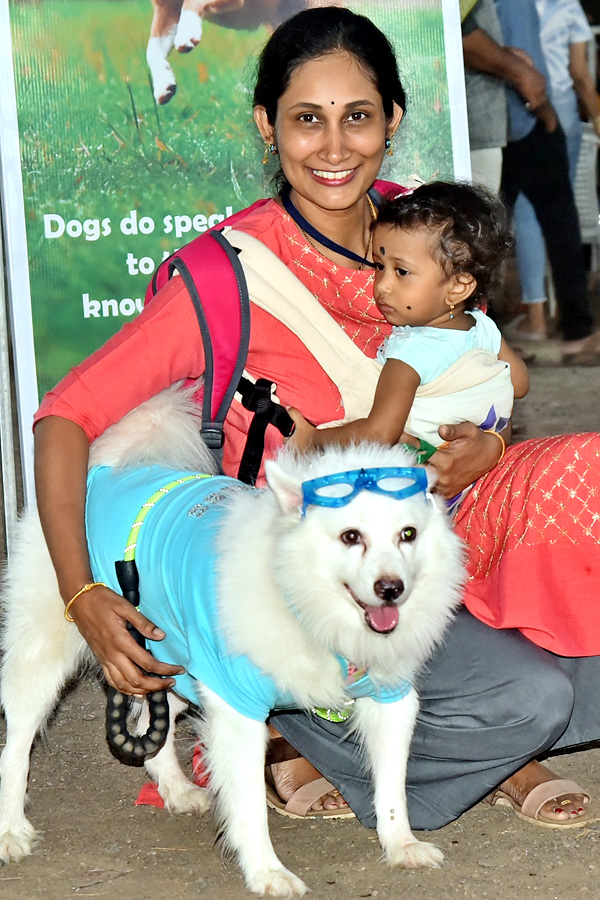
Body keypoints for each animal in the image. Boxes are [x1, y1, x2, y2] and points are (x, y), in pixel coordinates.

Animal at [0, 384, 464, 892]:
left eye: (408, 534)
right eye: (350, 537)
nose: (391, 589)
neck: (303, 596)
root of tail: (105, 466)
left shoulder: (391, 702)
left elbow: (392, 787)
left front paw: (400, 845)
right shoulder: (239, 707)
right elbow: (249, 805)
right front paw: (266, 871)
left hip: (176, 665)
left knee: (151, 723)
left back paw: (177, 789)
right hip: (46, 656)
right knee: (17, 744)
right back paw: (10, 830)